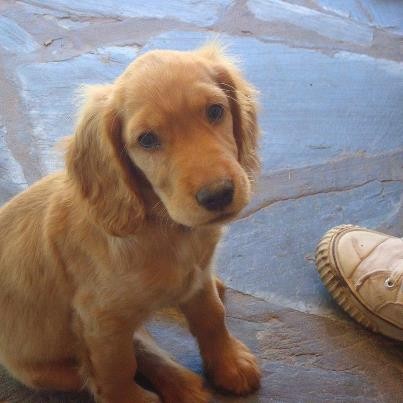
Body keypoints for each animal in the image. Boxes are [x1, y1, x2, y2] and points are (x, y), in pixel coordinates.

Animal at [0, 44, 262, 403]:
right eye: (147, 140)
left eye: (215, 111)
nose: (218, 195)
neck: (165, 227)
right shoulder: (101, 318)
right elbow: (116, 366)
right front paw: (129, 397)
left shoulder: (198, 276)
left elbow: (212, 317)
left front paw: (229, 363)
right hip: (44, 371)